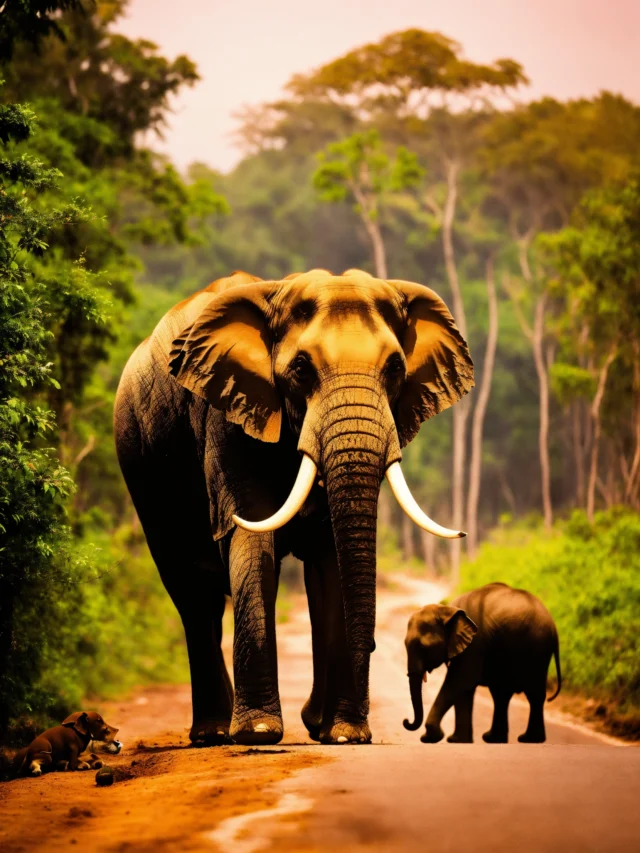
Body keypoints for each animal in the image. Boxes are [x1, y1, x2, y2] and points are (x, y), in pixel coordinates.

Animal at [114, 268, 473, 746]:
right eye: (301, 369)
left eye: (396, 368)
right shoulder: (226, 415)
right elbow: (249, 535)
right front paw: (260, 732)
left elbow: (330, 558)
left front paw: (344, 735)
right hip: (139, 460)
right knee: (190, 590)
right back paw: (213, 733)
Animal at [403, 582, 561, 744]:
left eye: (423, 647)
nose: (406, 721)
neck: (448, 610)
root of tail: (554, 626)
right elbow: (464, 690)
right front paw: (457, 741)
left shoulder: (475, 644)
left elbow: (460, 682)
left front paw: (432, 737)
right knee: (501, 694)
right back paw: (494, 739)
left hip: (537, 650)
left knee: (533, 694)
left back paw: (528, 739)